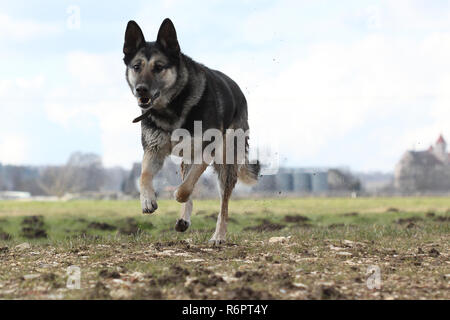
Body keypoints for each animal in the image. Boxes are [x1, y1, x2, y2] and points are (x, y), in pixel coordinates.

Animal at [122, 18, 260, 244]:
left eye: (159, 67)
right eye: (136, 67)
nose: (140, 89)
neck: (173, 106)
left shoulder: (205, 151)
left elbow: (186, 188)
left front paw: (177, 195)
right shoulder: (154, 150)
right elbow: (144, 176)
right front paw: (147, 201)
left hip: (226, 163)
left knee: (222, 204)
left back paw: (218, 236)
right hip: (187, 158)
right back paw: (184, 220)